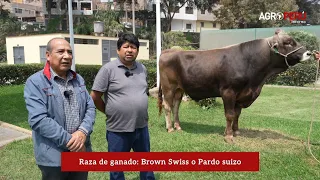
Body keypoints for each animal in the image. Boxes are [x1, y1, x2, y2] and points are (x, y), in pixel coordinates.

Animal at [158, 29, 312, 143]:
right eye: (288, 42)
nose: (309, 53)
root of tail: (168, 51)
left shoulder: (241, 94)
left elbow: (237, 113)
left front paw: (236, 131)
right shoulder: (228, 91)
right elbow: (230, 114)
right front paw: (228, 136)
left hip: (179, 89)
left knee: (176, 106)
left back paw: (178, 126)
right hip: (169, 87)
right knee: (167, 106)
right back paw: (170, 128)